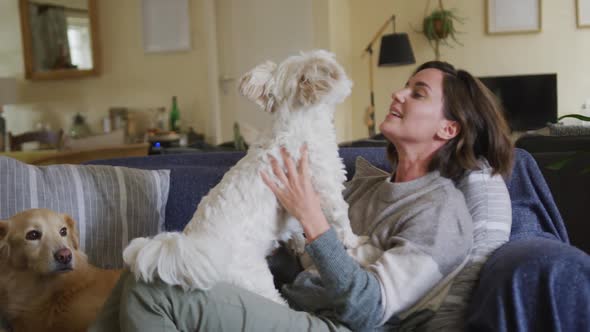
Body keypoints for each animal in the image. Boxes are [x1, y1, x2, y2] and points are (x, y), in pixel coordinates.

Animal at [125, 49, 360, 304]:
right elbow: (340, 217)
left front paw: (298, 242)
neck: (293, 123)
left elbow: (297, 226)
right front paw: (353, 241)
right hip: (257, 280)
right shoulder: (325, 187)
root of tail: (199, 250)